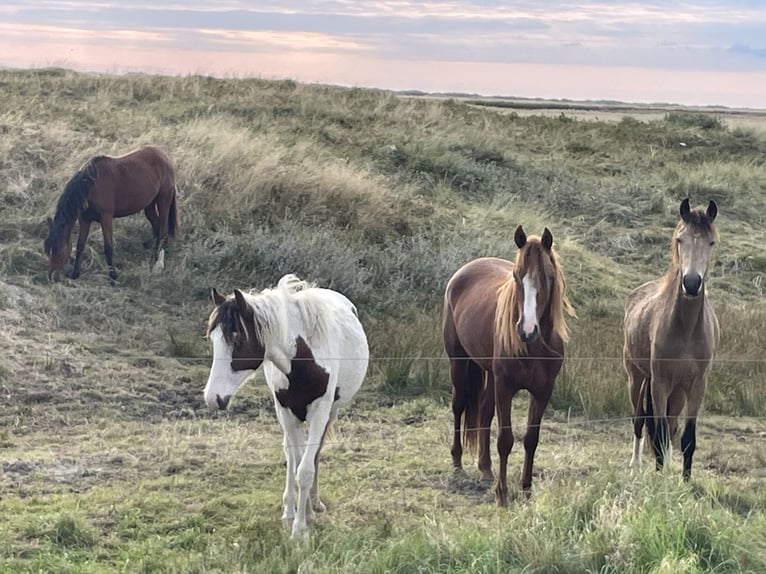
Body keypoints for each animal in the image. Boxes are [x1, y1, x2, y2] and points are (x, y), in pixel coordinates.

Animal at [44, 145, 178, 283]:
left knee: (163, 231)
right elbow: (80, 245)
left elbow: (108, 248)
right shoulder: (84, 219)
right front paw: (75, 273)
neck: (91, 186)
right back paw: (154, 256)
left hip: (163, 201)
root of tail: (164, 156)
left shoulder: (106, 218)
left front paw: (113, 277)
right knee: (157, 227)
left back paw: (158, 266)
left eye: (59, 250)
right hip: (149, 205)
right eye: (47, 250)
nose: (51, 277)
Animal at [203, 274, 369, 539]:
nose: (212, 397)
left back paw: (314, 503)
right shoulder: (286, 411)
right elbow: (297, 462)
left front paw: (301, 528)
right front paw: (301, 517)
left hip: (329, 412)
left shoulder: (321, 411)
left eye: (237, 337)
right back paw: (291, 510)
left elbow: (306, 467)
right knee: (291, 455)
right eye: (213, 339)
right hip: (287, 416)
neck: (302, 359)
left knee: (314, 454)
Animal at [443, 226, 575, 506]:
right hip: (458, 363)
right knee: (458, 406)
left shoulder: (543, 391)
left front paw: (526, 490)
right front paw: (502, 495)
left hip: (489, 374)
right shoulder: (505, 387)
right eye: (516, 275)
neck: (534, 349)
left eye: (548, 275)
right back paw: (457, 461)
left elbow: (531, 440)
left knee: (484, 411)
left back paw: (485, 468)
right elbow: (505, 440)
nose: (526, 330)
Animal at [623, 198, 719, 479]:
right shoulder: (660, 383)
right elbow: (659, 432)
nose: (692, 283)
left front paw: (684, 480)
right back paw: (636, 466)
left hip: (677, 392)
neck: (686, 329)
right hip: (637, 378)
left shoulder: (697, 386)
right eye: (680, 239)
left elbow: (686, 438)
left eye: (711, 242)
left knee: (671, 424)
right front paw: (659, 477)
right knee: (639, 420)